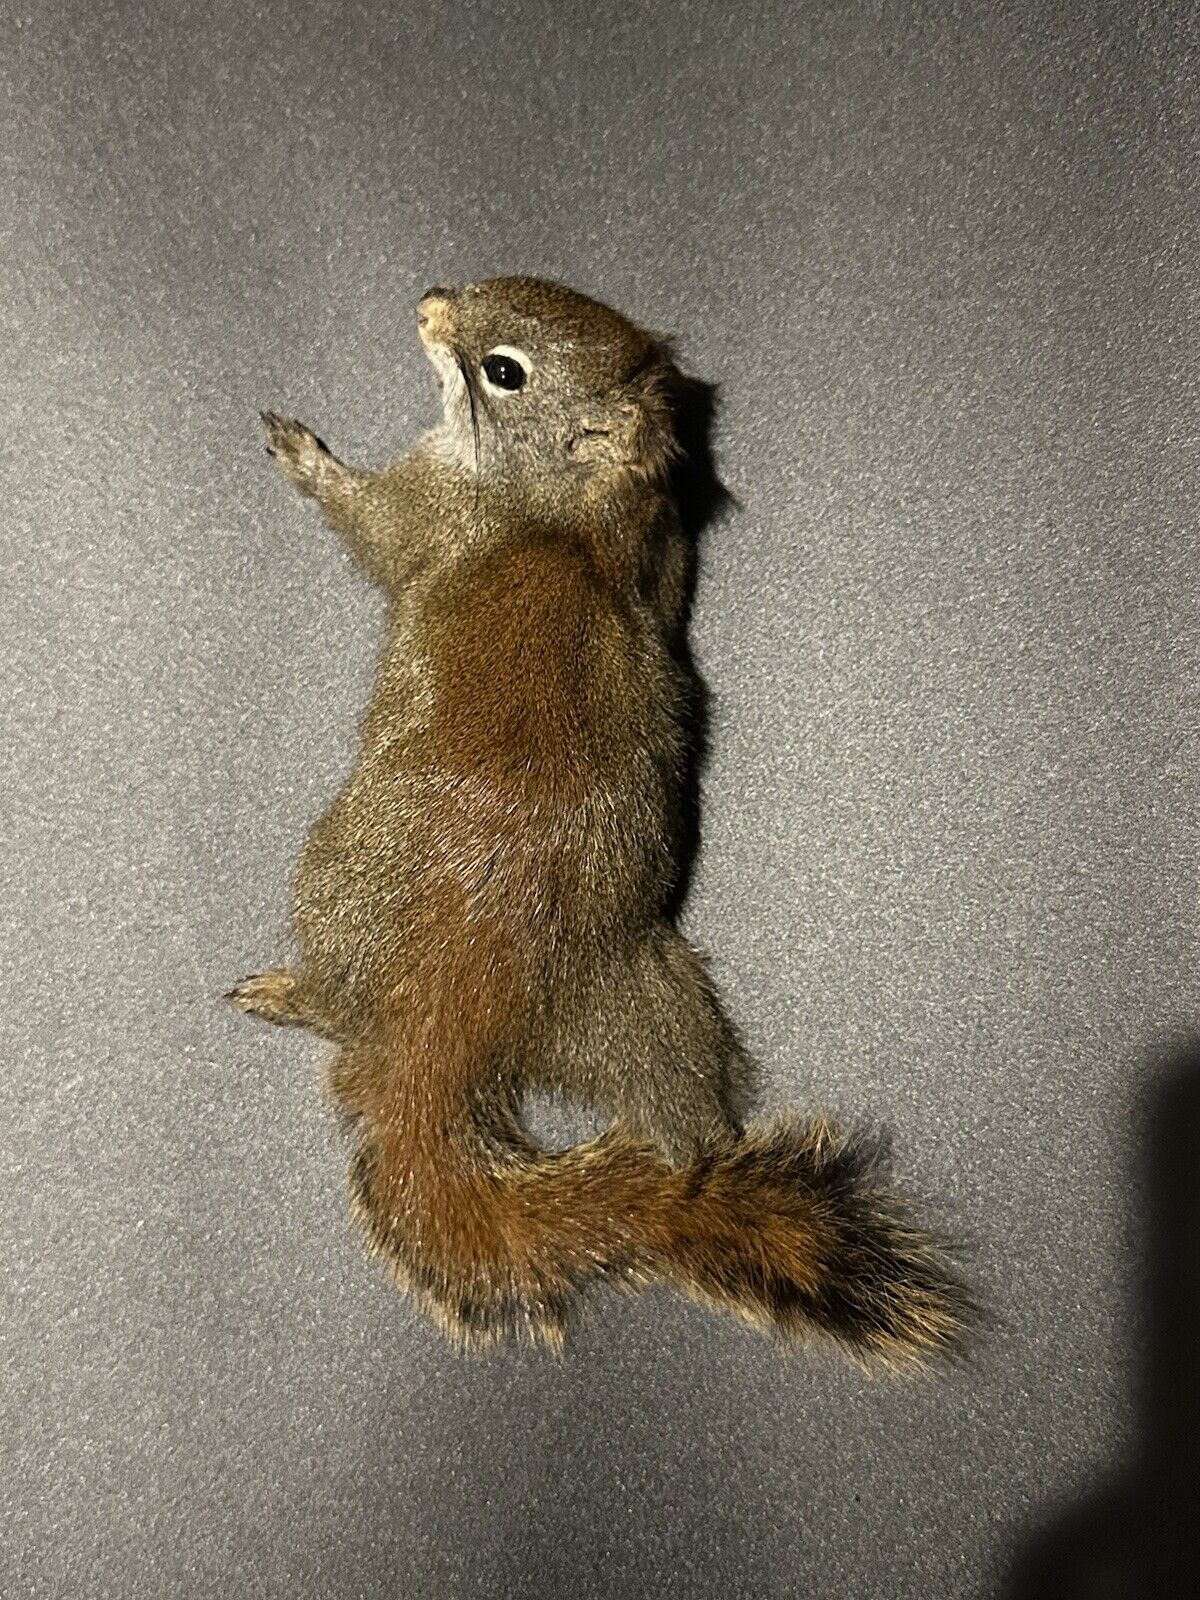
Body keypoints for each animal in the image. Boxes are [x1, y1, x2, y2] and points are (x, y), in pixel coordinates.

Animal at [228, 276, 970, 1368]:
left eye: (503, 370)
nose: (430, 300)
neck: (574, 513)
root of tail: (446, 1019)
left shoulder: (430, 511)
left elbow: (368, 522)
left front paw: (303, 452)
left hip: (331, 878)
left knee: (338, 1004)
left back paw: (290, 993)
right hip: (651, 1007)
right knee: (690, 1104)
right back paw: (699, 1157)